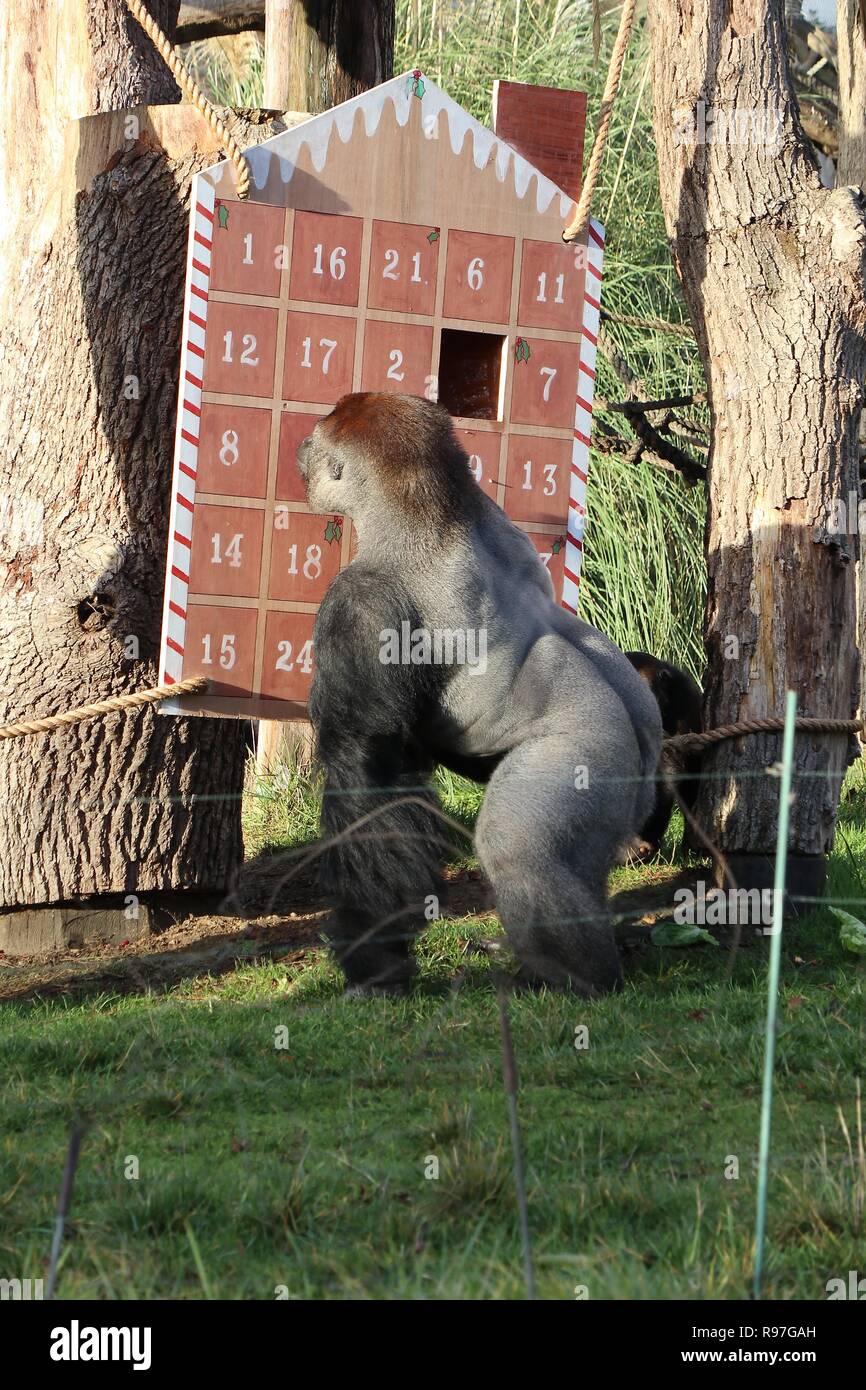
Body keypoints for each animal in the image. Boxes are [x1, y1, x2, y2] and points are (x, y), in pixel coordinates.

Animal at [297, 394, 664, 1000]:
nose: (301, 450)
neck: (428, 511)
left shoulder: (362, 602)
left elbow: (367, 767)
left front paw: (374, 962)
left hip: (584, 760)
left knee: (521, 854)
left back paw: (576, 979)